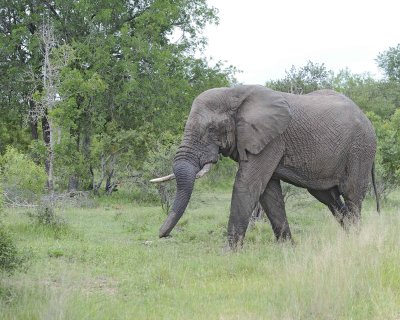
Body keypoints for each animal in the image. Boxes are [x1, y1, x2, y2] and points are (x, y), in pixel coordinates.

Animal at [152, 85, 380, 250]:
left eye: (211, 129)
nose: (161, 235)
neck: (234, 93)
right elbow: (269, 193)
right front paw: (287, 248)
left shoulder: (272, 140)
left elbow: (247, 185)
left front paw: (229, 251)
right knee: (328, 197)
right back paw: (349, 238)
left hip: (360, 149)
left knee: (351, 194)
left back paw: (357, 240)